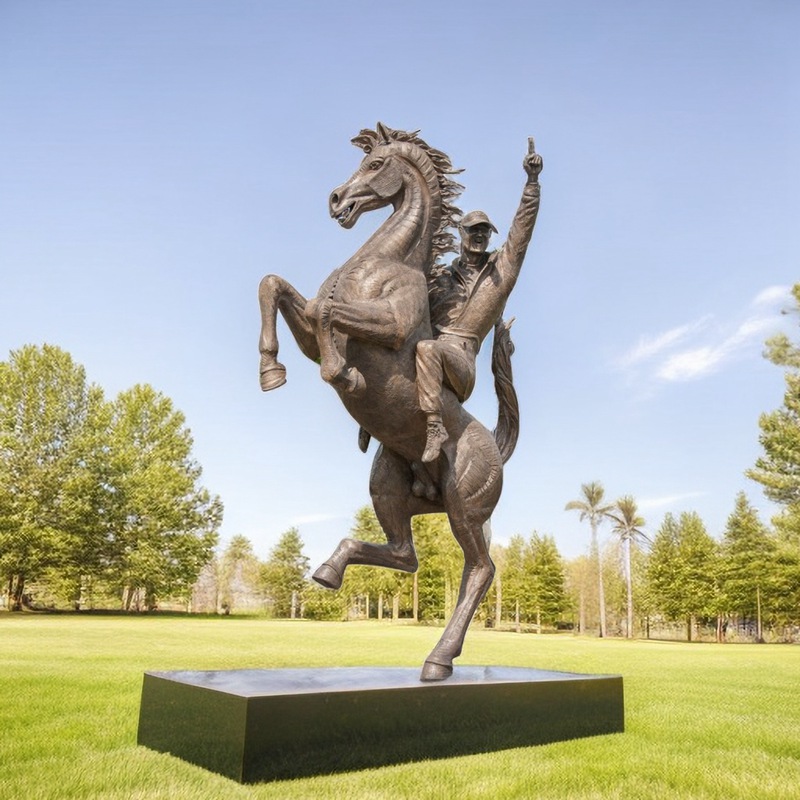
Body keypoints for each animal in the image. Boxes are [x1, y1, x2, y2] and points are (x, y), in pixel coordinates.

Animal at [260, 125, 516, 680]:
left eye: (376, 164)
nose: (337, 200)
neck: (382, 263)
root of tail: (497, 449)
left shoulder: (393, 327)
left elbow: (332, 315)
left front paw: (346, 374)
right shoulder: (306, 324)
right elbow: (276, 287)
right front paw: (271, 372)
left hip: (465, 506)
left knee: (479, 569)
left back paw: (438, 660)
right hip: (389, 487)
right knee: (406, 555)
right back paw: (328, 570)